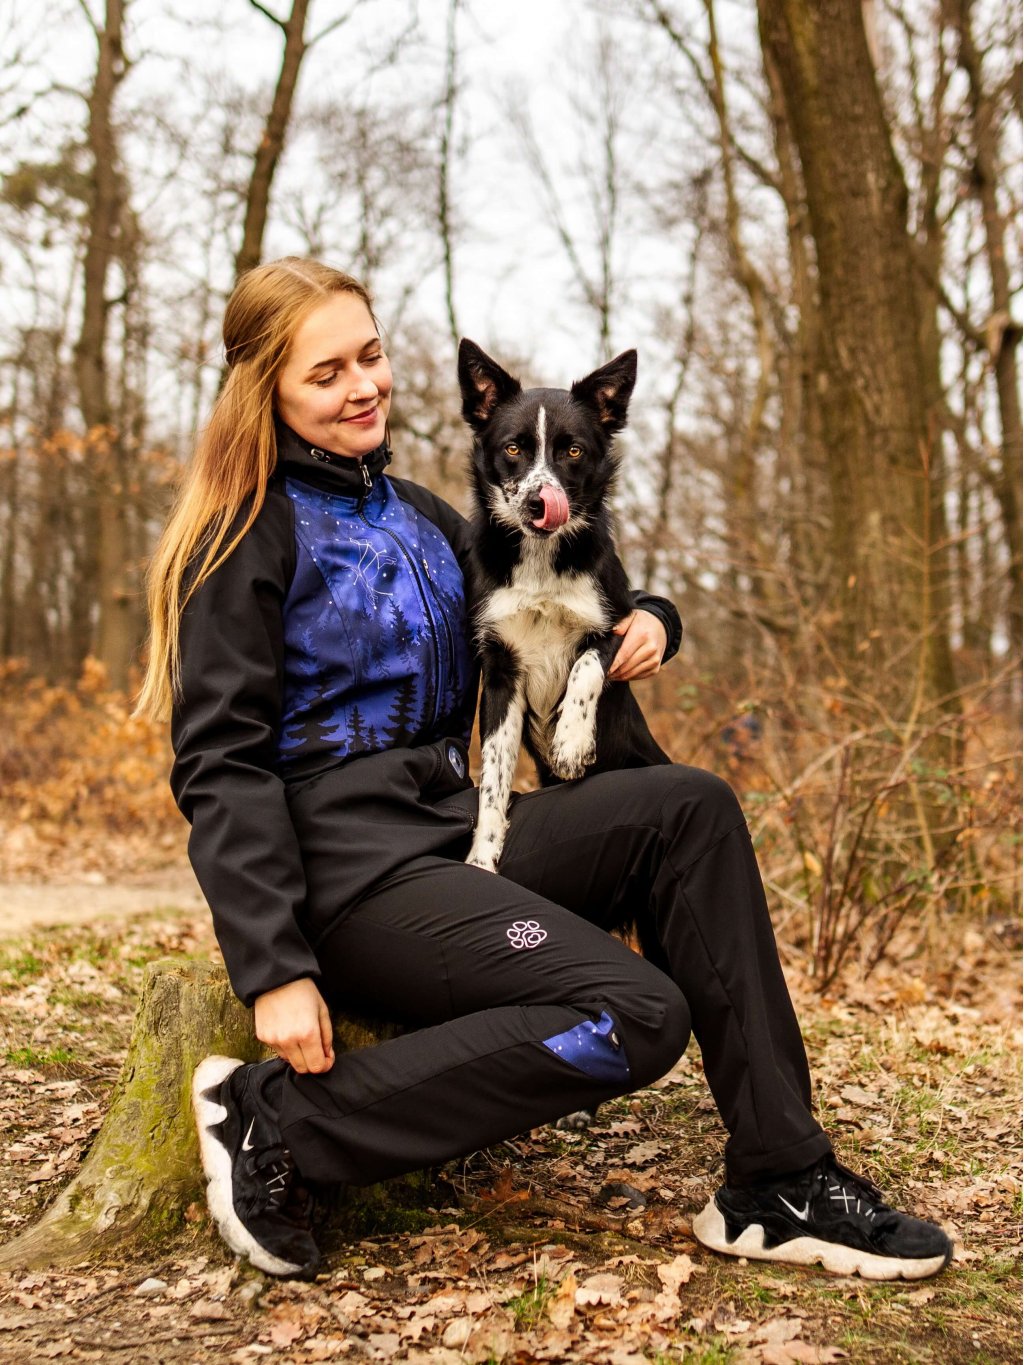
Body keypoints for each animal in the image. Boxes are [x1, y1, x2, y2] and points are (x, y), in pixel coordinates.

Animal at [458, 341, 674, 873]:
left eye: (572, 451)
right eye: (513, 448)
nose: (540, 502)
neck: (542, 559)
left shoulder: (619, 623)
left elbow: (587, 666)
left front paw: (573, 742)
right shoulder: (499, 668)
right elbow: (493, 775)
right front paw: (483, 854)